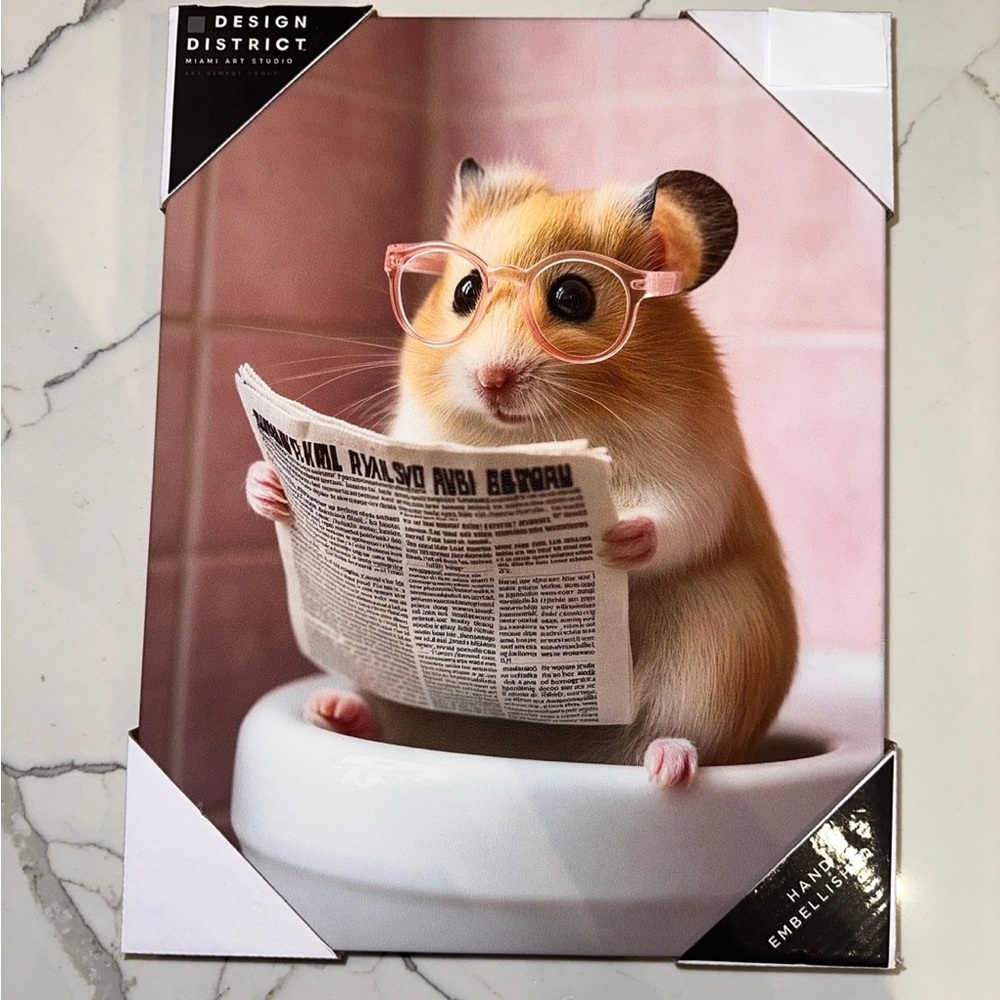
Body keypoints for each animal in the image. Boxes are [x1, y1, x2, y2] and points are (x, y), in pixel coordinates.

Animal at [246, 159, 798, 787]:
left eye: (572, 296)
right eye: (466, 290)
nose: (493, 380)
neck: (526, 436)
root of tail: (538, 751)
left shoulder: (696, 472)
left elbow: (672, 520)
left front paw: (613, 537)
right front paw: (268, 485)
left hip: (718, 660)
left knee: (681, 740)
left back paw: (668, 767)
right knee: (400, 722)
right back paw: (334, 710)